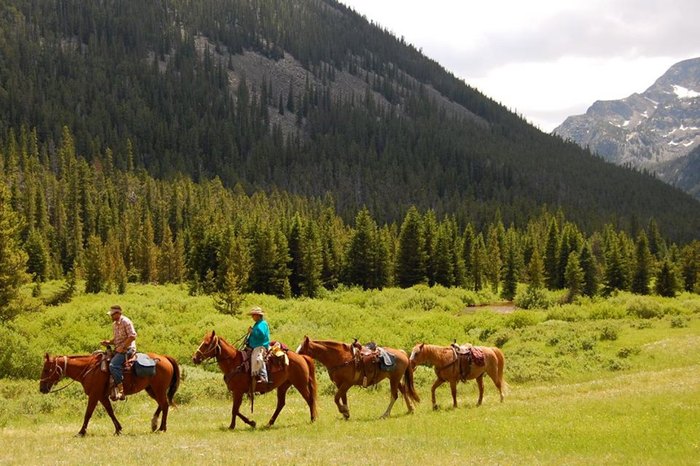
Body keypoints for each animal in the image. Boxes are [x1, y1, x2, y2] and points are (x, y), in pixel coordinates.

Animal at [38, 352, 182, 436]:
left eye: (46, 369)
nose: (41, 388)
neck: (89, 369)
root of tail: (165, 358)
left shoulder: (94, 395)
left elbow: (88, 413)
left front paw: (81, 432)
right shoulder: (102, 396)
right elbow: (110, 412)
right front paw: (118, 429)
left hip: (158, 389)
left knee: (164, 405)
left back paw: (162, 428)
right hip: (151, 389)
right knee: (162, 404)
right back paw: (154, 424)